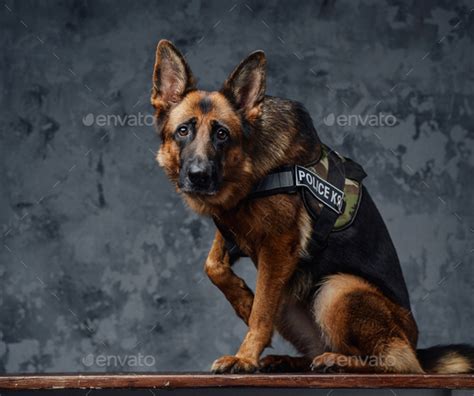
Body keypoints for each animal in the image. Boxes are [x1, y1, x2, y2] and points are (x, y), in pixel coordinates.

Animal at [150, 40, 472, 374]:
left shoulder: (278, 246)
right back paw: (290, 360)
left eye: (222, 134)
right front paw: (243, 301)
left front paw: (245, 356)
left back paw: (340, 361)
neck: (250, 167)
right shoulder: (234, 227)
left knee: (397, 363)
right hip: (293, 300)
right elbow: (213, 265)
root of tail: (415, 344)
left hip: (337, 289)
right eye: (183, 131)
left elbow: (262, 313)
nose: (198, 176)